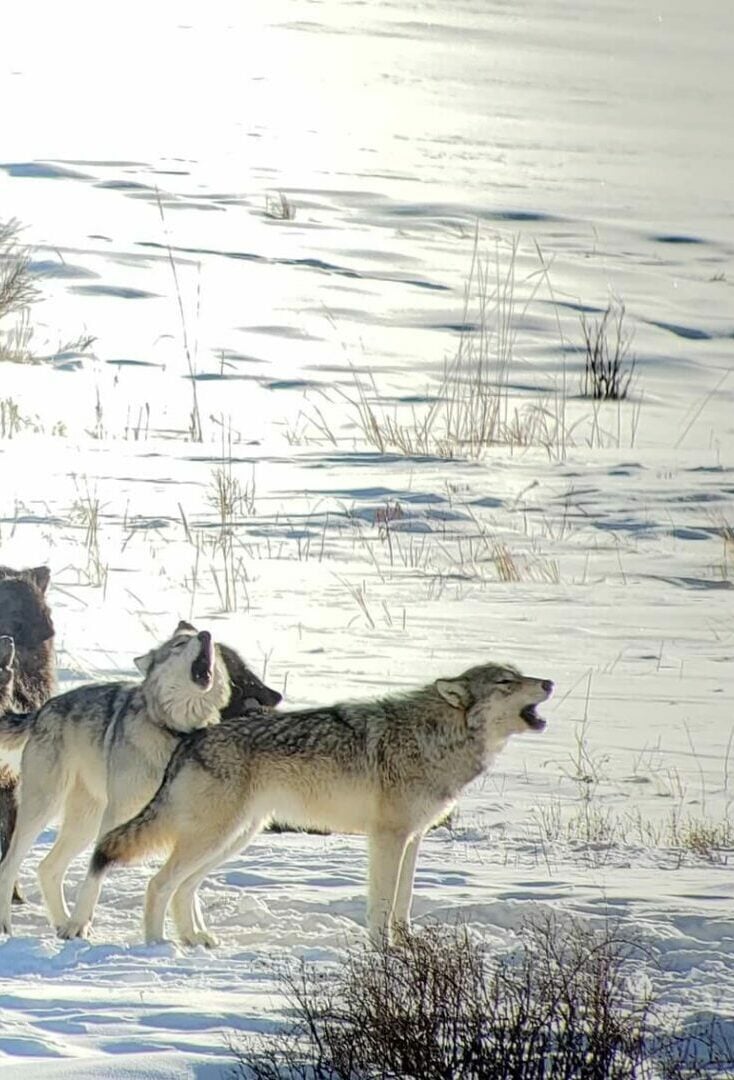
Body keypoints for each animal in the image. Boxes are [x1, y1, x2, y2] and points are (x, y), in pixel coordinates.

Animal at [0, 622, 232, 941]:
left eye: (213, 646)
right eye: (179, 644)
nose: (206, 635)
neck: (175, 732)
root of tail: (42, 710)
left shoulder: (184, 821)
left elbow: (184, 881)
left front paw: (194, 934)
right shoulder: (118, 816)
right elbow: (95, 873)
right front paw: (80, 923)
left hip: (84, 824)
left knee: (47, 868)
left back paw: (61, 925)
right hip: (44, 810)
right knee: (9, 865)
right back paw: (9, 928)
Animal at [78, 660, 550, 950]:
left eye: (519, 675)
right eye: (506, 683)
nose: (549, 683)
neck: (436, 737)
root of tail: (192, 737)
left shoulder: (413, 838)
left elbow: (403, 903)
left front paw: (407, 947)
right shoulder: (388, 838)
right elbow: (382, 904)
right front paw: (383, 953)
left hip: (231, 839)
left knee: (183, 888)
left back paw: (196, 940)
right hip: (213, 838)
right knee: (158, 884)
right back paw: (157, 947)